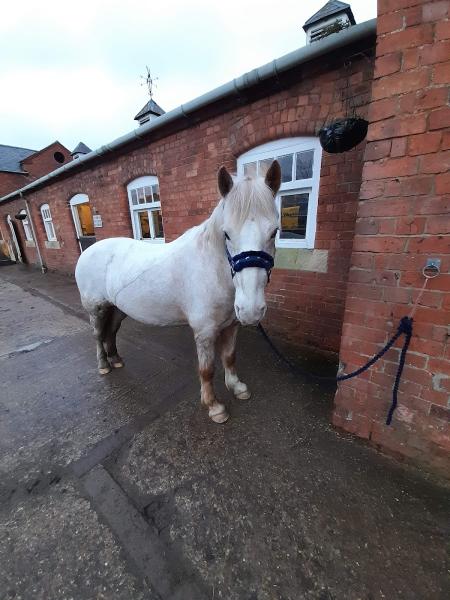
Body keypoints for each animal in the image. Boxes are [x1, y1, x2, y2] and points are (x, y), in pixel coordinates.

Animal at [77, 159, 282, 422]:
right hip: (97, 309)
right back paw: (104, 365)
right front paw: (213, 406)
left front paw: (236, 387)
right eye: (226, 233)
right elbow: (207, 369)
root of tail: (88, 251)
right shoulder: (204, 331)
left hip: (117, 308)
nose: (251, 310)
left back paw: (116, 360)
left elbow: (229, 357)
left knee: (111, 332)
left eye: (274, 232)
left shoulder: (232, 325)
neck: (212, 269)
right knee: (97, 335)